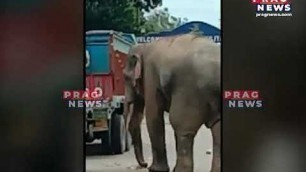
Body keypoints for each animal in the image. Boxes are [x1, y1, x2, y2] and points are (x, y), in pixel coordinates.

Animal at [123, 34, 221, 172]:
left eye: (125, 77)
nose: (144, 164)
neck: (143, 46)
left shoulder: (150, 75)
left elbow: (153, 116)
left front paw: (155, 170)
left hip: (189, 93)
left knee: (182, 127)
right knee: (217, 129)